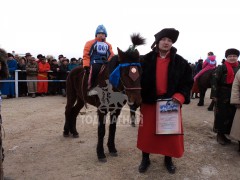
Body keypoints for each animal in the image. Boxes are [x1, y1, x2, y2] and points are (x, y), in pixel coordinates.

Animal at [63, 33, 145, 162]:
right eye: (124, 73)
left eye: (140, 72)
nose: (136, 101)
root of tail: (73, 71)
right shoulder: (102, 109)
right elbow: (101, 130)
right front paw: (100, 153)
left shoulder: (116, 110)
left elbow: (112, 128)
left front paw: (112, 148)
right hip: (71, 95)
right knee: (67, 110)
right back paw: (66, 131)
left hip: (81, 99)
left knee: (74, 112)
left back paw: (74, 131)